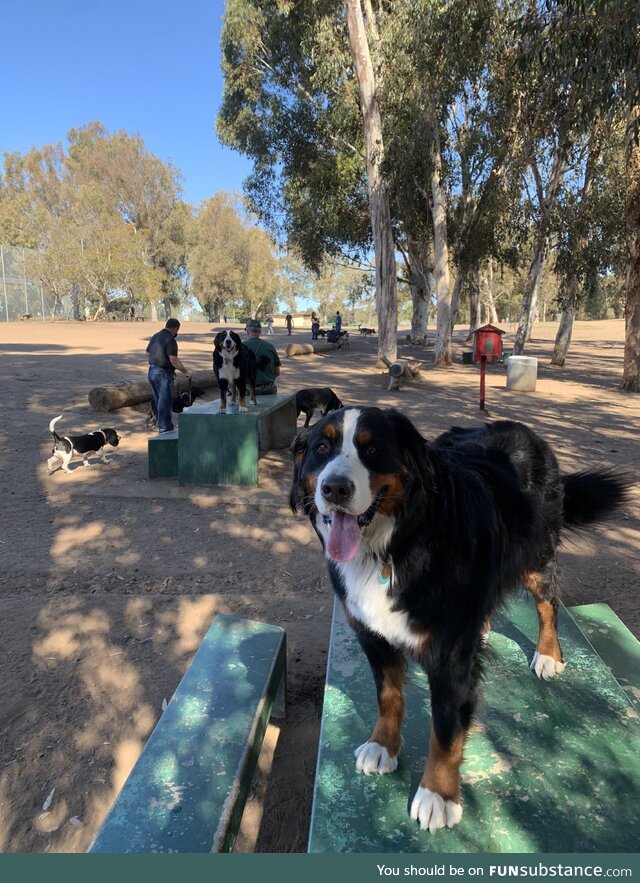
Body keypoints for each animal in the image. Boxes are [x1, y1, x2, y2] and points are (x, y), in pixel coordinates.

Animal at [290, 408, 632, 836]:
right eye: (322, 447)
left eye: (372, 449)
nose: (334, 488)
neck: (392, 547)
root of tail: (523, 430)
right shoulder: (373, 636)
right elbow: (389, 696)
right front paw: (383, 745)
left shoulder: (450, 657)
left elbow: (446, 731)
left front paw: (438, 795)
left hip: (536, 557)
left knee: (547, 603)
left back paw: (548, 654)